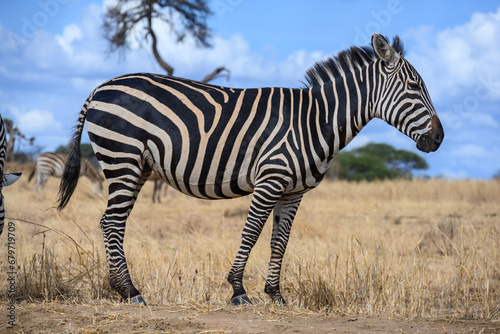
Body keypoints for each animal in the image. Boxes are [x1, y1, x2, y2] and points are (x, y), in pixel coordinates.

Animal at [56, 33, 444, 306]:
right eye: (414, 86)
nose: (438, 139)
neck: (314, 121)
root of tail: (100, 87)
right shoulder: (270, 179)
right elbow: (252, 232)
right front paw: (239, 290)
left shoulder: (293, 191)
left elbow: (279, 241)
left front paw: (276, 294)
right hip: (122, 158)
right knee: (112, 222)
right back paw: (130, 291)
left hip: (135, 167)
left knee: (111, 222)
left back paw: (120, 288)